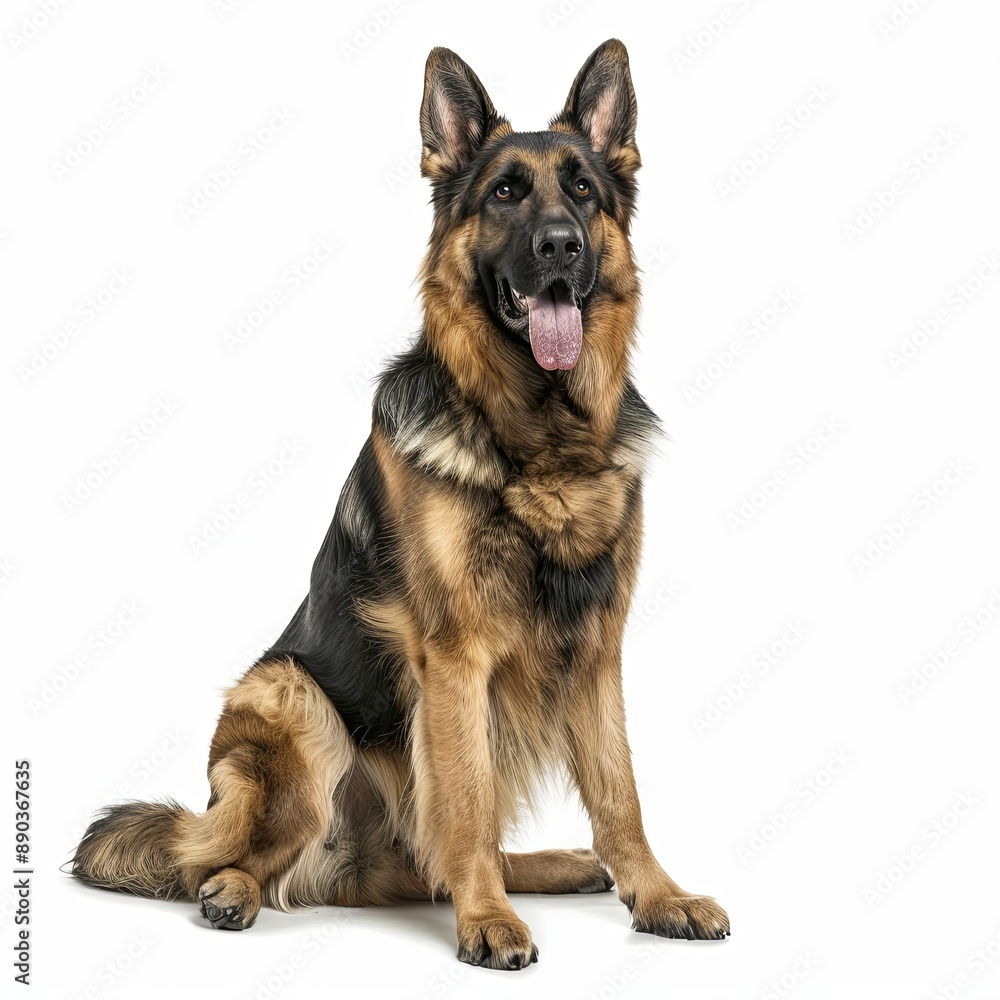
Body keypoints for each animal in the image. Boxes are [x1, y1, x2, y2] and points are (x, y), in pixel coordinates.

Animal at [71, 39, 730, 970]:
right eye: (505, 194)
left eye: (583, 190)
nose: (561, 246)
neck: (539, 439)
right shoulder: (454, 657)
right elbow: (466, 801)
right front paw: (489, 922)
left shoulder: (598, 650)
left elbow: (620, 794)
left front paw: (659, 897)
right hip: (294, 701)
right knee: (238, 857)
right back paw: (234, 891)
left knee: (432, 859)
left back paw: (555, 865)